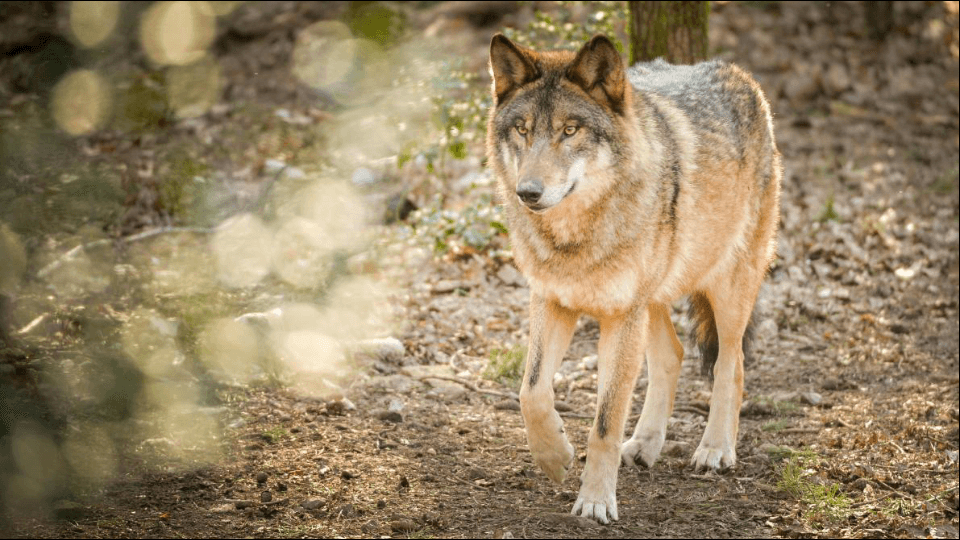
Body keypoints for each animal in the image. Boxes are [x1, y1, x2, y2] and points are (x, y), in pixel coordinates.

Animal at [485, 34, 781, 524]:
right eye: (523, 130)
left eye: (570, 130)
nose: (527, 192)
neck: (575, 239)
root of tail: (739, 74)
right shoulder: (552, 300)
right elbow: (531, 392)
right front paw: (554, 457)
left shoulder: (621, 316)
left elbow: (605, 423)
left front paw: (595, 501)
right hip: (653, 300)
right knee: (673, 356)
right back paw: (644, 445)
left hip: (725, 286)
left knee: (731, 363)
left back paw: (716, 449)